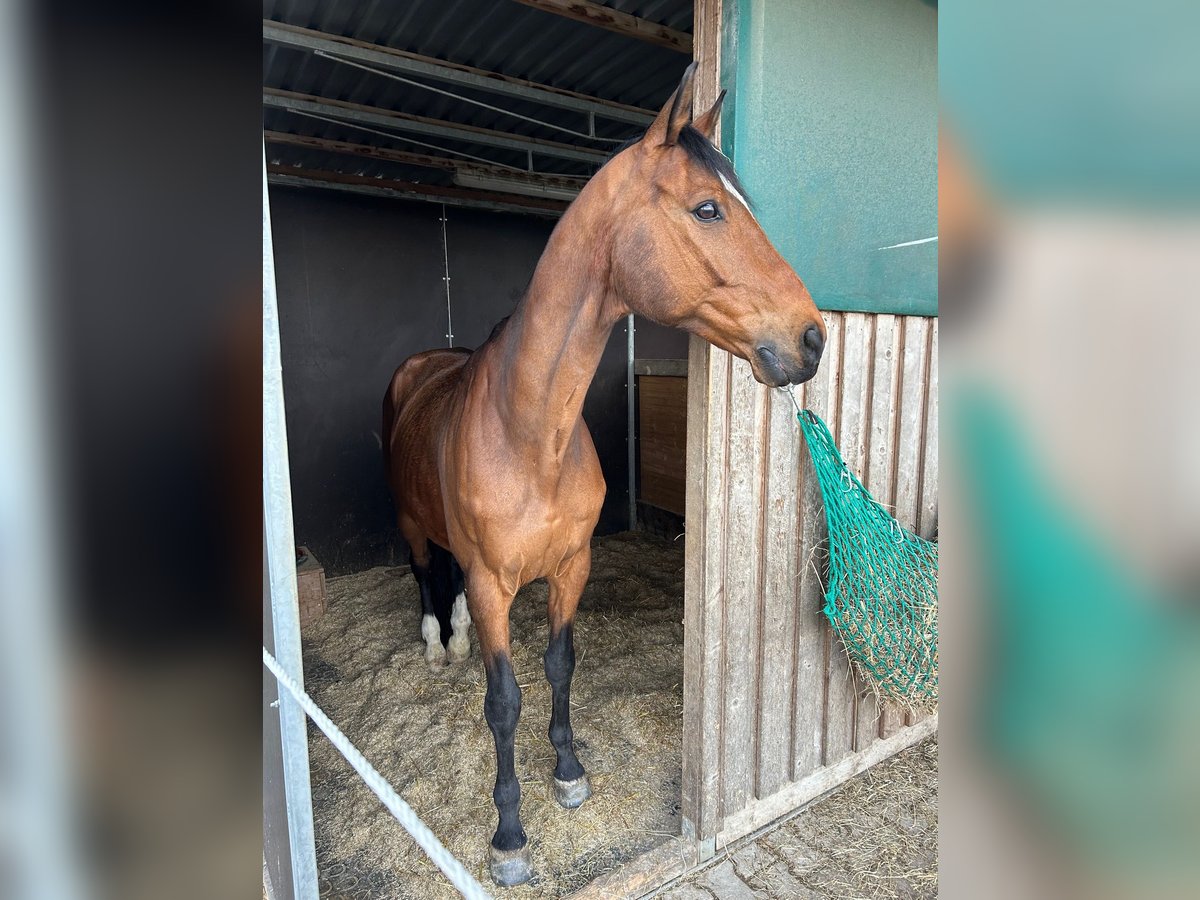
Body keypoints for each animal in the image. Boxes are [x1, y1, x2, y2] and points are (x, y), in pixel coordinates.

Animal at [382, 62, 825, 887]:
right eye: (708, 208)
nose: (811, 338)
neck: (529, 435)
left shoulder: (572, 566)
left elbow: (559, 666)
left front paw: (568, 773)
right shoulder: (493, 585)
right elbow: (503, 700)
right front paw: (510, 838)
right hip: (410, 524)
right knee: (427, 571)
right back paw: (437, 642)